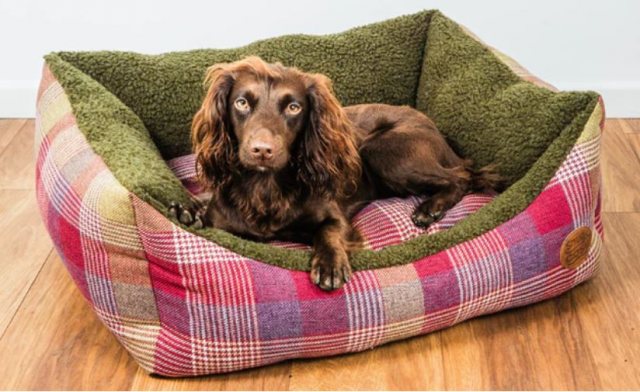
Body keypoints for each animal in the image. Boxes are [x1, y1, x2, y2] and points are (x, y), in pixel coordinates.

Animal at [170, 55, 500, 290]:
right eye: (241, 103)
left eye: (293, 107)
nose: (262, 150)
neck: (266, 187)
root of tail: (433, 126)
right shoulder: (223, 220)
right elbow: (207, 204)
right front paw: (189, 208)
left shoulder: (335, 215)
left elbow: (328, 231)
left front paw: (329, 265)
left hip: (382, 151)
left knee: (462, 176)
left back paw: (429, 208)